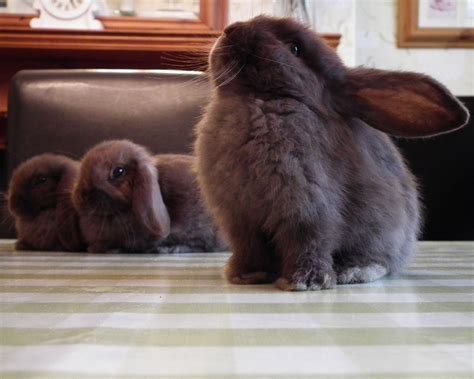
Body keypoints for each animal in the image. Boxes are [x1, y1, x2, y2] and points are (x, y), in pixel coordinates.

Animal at [194, 16, 468, 292]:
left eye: (294, 48)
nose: (230, 29)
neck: (258, 99)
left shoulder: (308, 206)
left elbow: (310, 241)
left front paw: (304, 282)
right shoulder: (239, 218)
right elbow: (249, 248)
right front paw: (245, 276)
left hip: (381, 232)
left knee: (381, 262)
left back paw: (353, 272)